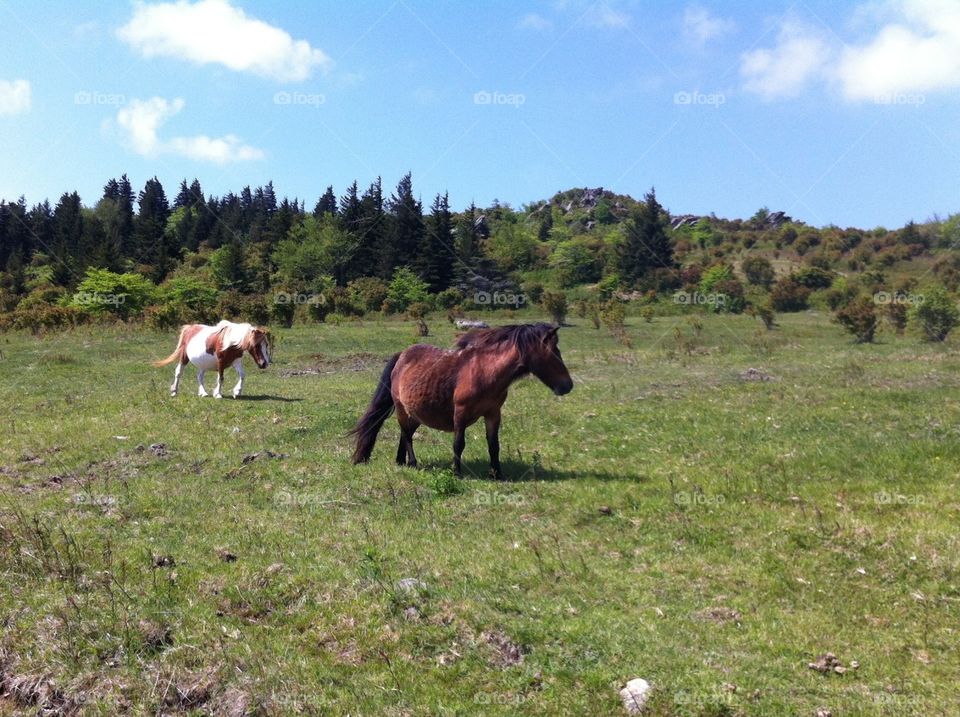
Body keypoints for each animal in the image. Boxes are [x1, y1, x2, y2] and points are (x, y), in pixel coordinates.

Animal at [349, 323, 573, 479]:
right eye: (554, 352)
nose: (568, 386)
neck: (484, 372)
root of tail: (402, 355)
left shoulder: (493, 413)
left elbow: (494, 445)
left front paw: (497, 474)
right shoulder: (460, 413)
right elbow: (459, 444)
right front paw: (457, 473)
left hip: (416, 413)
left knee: (406, 435)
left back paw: (401, 462)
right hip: (402, 410)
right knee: (406, 435)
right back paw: (412, 463)